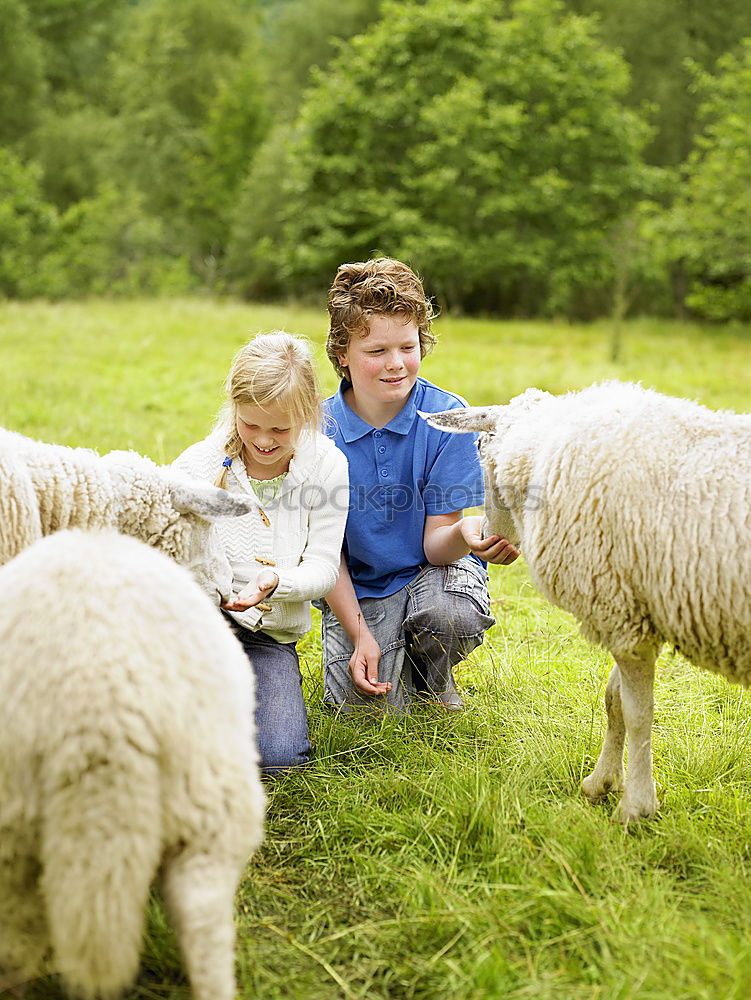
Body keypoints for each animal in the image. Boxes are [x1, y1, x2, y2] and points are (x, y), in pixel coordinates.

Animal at [424, 380, 751, 820]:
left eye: (477, 446)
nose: (488, 536)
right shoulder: (630, 613)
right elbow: (614, 701)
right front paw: (602, 783)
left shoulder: (620, 613)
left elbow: (637, 713)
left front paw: (635, 806)